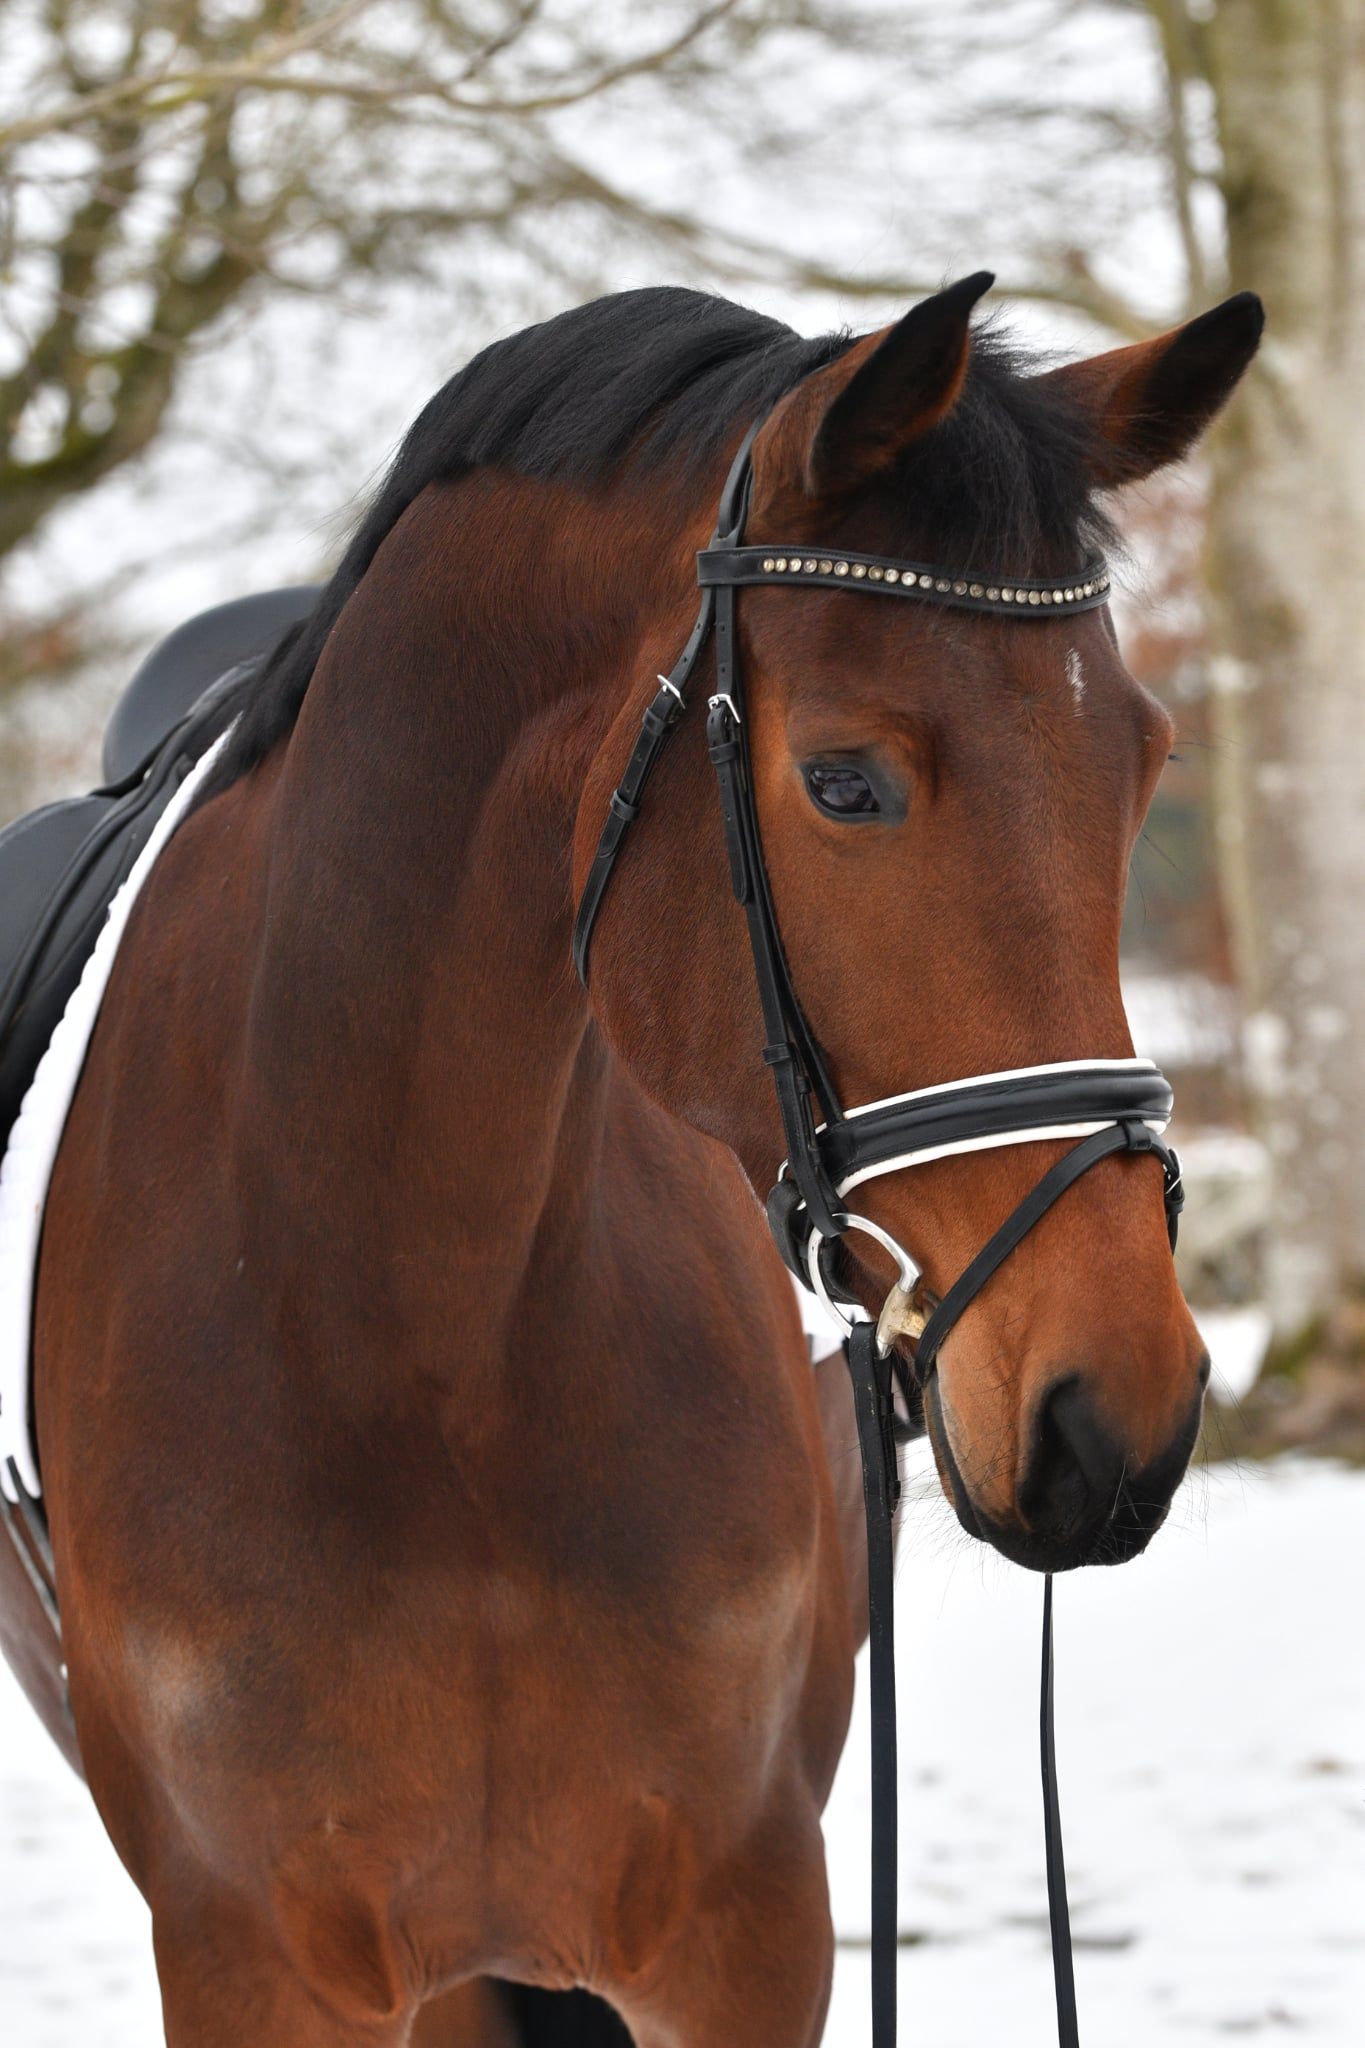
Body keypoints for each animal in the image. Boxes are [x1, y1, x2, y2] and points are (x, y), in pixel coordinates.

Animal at [0, 275, 1261, 2045]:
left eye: (1143, 765)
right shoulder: (253, 1958)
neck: (422, 1325)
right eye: (843, 783)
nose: (1118, 1414)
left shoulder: (745, 1933)